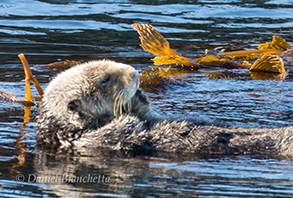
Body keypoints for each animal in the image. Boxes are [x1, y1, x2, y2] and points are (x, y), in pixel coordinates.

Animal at [37, 59, 292, 157]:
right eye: (105, 80)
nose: (135, 74)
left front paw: (138, 100)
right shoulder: (84, 141)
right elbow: (118, 133)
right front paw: (128, 117)